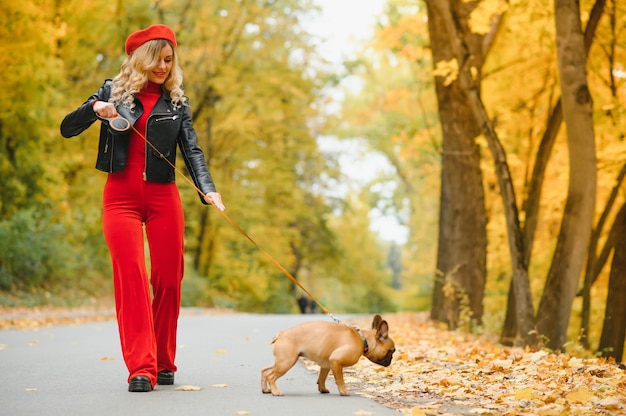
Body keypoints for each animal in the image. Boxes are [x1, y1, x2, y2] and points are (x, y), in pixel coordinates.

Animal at [260, 316, 392, 396]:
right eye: (392, 351)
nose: (391, 360)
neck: (362, 339)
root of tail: (281, 334)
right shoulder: (336, 360)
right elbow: (340, 379)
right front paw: (344, 391)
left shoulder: (326, 365)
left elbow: (322, 378)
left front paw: (322, 389)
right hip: (286, 362)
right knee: (271, 376)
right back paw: (275, 392)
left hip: (284, 360)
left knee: (265, 370)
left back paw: (266, 389)